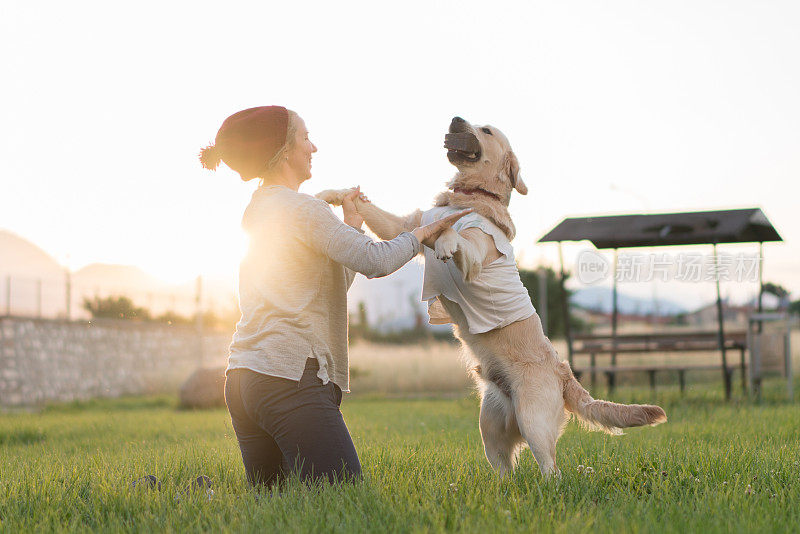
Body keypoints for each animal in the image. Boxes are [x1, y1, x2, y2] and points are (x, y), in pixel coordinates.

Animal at [316, 116, 664, 478]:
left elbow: (453, 233)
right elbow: (381, 213)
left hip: (533, 419)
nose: (455, 118)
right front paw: (334, 193)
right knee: (505, 468)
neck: (470, 196)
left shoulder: (473, 254)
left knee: (551, 470)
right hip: (491, 426)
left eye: (486, 131)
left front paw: (445, 240)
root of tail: (564, 372)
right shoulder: (406, 225)